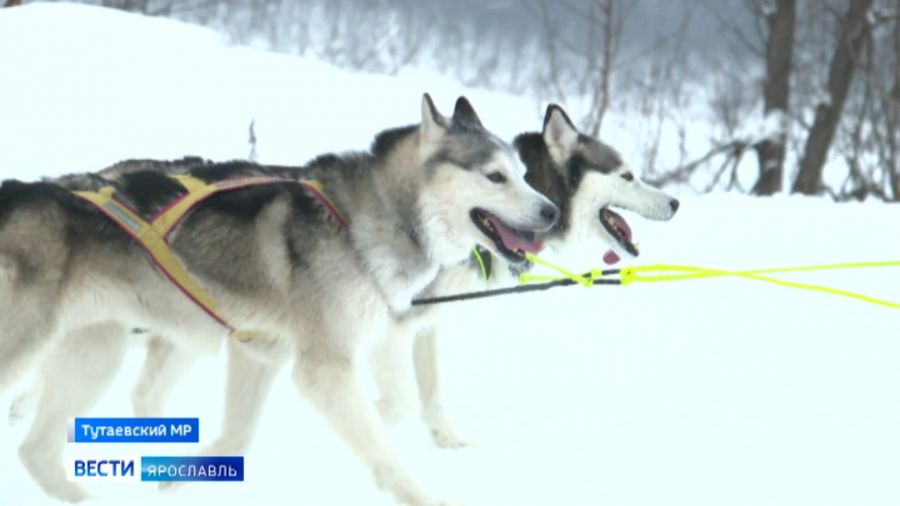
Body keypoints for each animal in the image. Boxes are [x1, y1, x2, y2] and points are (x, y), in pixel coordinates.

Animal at [1, 96, 556, 506]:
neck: (366, 219)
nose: (551, 212)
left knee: (40, 449)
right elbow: (382, 439)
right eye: (495, 176)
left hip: (100, 352)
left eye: (523, 173)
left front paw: (179, 477)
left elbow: (236, 438)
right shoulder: (324, 365)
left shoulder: (260, 351)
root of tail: (19, 193)